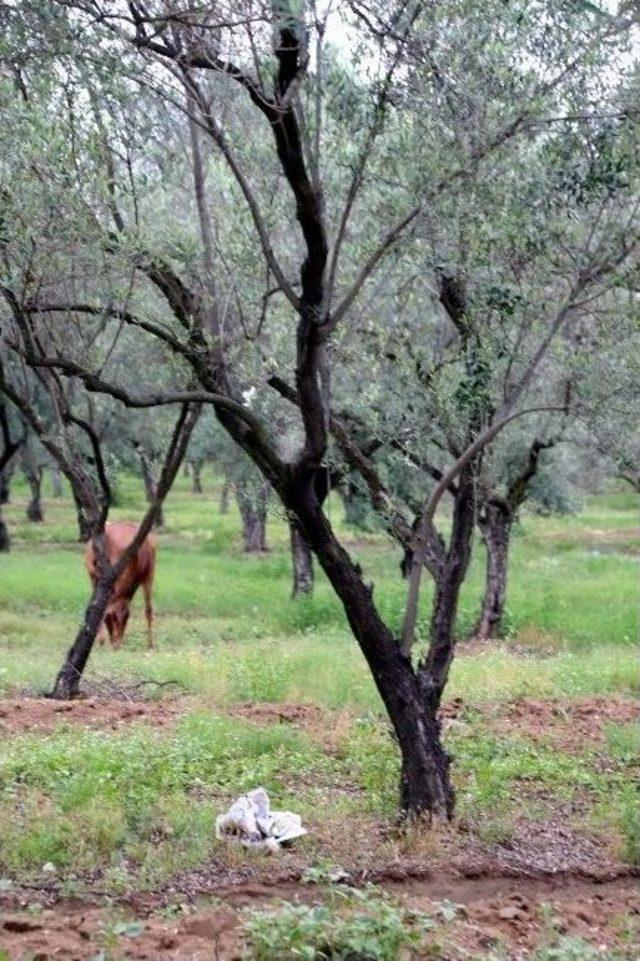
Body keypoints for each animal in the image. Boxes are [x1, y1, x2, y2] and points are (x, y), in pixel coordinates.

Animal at [85, 520, 157, 648]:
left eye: (111, 618)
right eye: (117, 618)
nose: (115, 643)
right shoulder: (148, 574)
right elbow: (148, 609)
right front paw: (150, 644)